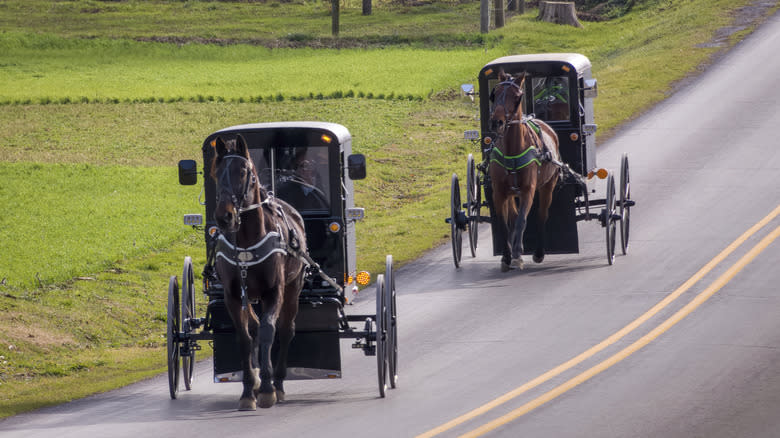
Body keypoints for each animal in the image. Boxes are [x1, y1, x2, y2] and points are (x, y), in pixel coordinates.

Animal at [210, 134, 308, 410]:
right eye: (216, 172)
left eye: (243, 171)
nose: (224, 216)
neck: (245, 241)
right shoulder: (233, 296)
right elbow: (245, 338)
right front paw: (248, 390)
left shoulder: (273, 291)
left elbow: (268, 331)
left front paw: (267, 388)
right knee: (254, 328)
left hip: (293, 287)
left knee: (285, 329)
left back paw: (279, 383)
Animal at [488, 71, 560, 270]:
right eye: (494, 94)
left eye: (516, 97)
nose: (497, 122)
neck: (512, 151)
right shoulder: (499, 192)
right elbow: (504, 224)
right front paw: (506, 256)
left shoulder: (529, 190)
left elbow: (522, 221)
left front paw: (517, 255)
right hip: (512, 193)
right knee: (512, 217)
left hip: (547, 186)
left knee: (542, 215)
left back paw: (538, 252)